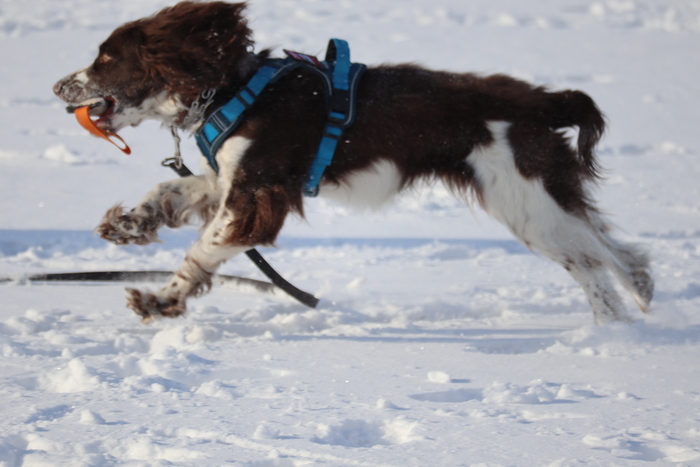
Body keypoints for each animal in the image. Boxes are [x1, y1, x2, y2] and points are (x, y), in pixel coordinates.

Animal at [53, 1, 653, 324]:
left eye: (106, 59)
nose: (59, 86)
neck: (233, 89)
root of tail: (544, 99)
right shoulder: (237, 179)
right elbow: (172, 191)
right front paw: (133, 223)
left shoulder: (258, 195)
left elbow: (202, 249)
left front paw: (160, 300)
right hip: (541, 198)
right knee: (611, 249)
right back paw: (637, 301)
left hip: (526, 201)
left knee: (593, 262)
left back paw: (612, 334)